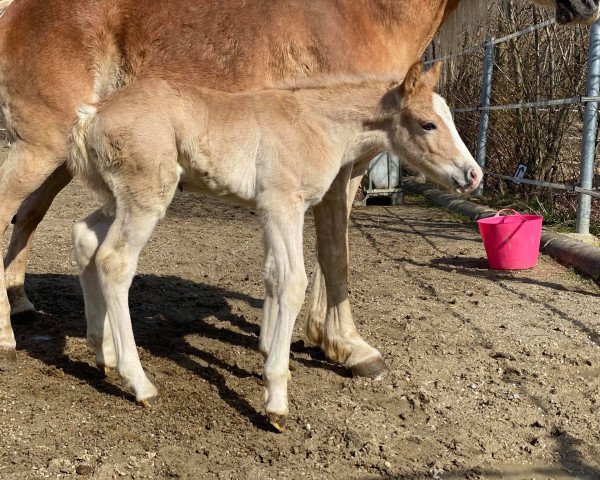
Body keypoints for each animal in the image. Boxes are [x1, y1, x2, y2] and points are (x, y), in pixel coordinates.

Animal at [0, 0, 596, 378]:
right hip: (50, 148)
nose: (473, 177)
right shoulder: (318, 185)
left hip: (91, 176)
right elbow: (328, 257)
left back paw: (71, 332)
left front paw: (291, 343)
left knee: (62, 228)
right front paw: (342, 349)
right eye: (428, 124)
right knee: (63, 233)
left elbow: (290, 268)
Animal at [70, 62, 480, 430]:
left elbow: (271, 274)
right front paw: (276, 398)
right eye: (428, 123)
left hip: (117, 198)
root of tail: (94, 113)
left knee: (85, 239)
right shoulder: (284, 204)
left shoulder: (268, 210)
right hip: (146, 197)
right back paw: (139, 382)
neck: (314, 124)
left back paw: (102, 351)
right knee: (114, 260)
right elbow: (292, 282)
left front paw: (269, 357)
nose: (473, 175)